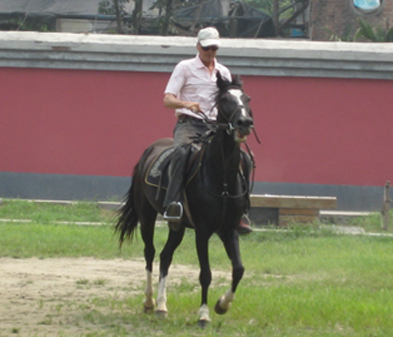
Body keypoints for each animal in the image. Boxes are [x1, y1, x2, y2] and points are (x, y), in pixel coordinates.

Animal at [115, 71, 253, 326]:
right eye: (225, 99)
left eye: (246, 98)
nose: (244, 123)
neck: (222, 178)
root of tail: (147, 152)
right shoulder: (202, 230)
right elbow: (205, 273)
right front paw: (204, 314)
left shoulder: (229, 229)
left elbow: (239, 269)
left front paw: (222, 305)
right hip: (147, 216)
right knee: (150, 253)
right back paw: (149, 301)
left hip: (177, 226)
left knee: (165, 256)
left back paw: (162, 306)